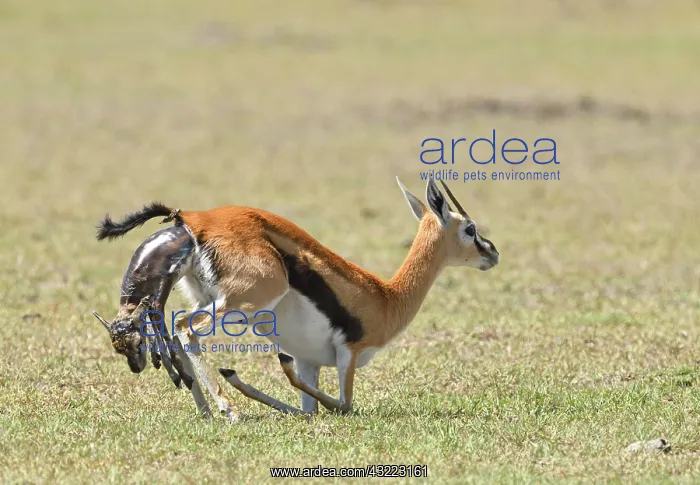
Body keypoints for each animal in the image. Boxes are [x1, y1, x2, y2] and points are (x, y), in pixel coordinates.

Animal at [92, 178, 499, 420]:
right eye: (470, 228)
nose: (492, 253)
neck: (387, 297)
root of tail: (193, 220)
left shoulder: (310, 361)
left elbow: (309, 410)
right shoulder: (349, 353)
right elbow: (344, 405)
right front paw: (238, 380)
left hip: (206, 298)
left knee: (173, 330)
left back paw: (207, 409)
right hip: (242, 303)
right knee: (184, 327)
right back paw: (227, 407)